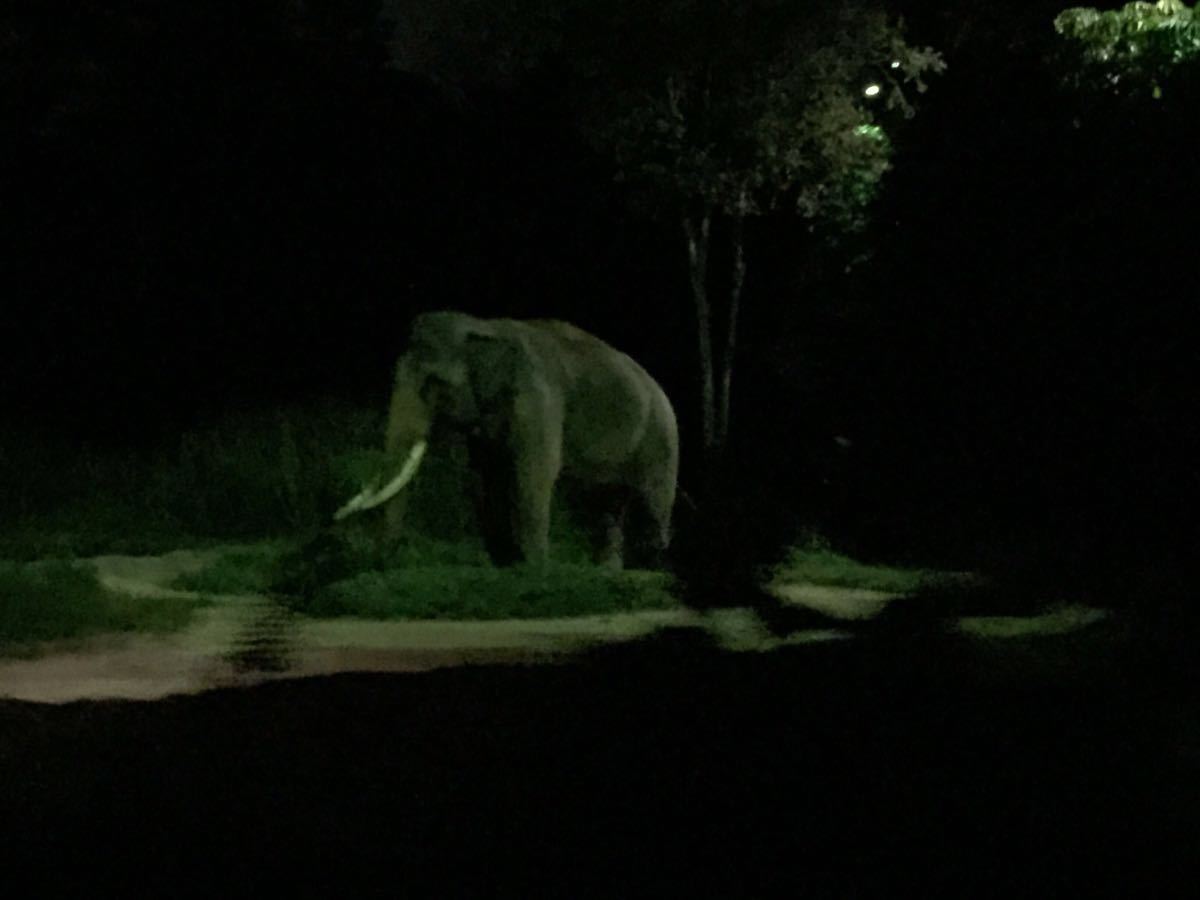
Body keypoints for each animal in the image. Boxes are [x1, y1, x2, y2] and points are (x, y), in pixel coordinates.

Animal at [333, 314, 681, 566]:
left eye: (434, 384)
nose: (382, 563)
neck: (484, 326)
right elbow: (485, 479)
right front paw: (506, 566)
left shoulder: (539, 399)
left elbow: (535, 473)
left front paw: (536, 570)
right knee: (607, 505)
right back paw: (608, 572)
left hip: (661, 435)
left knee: (652, 502)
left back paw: (651, 567)